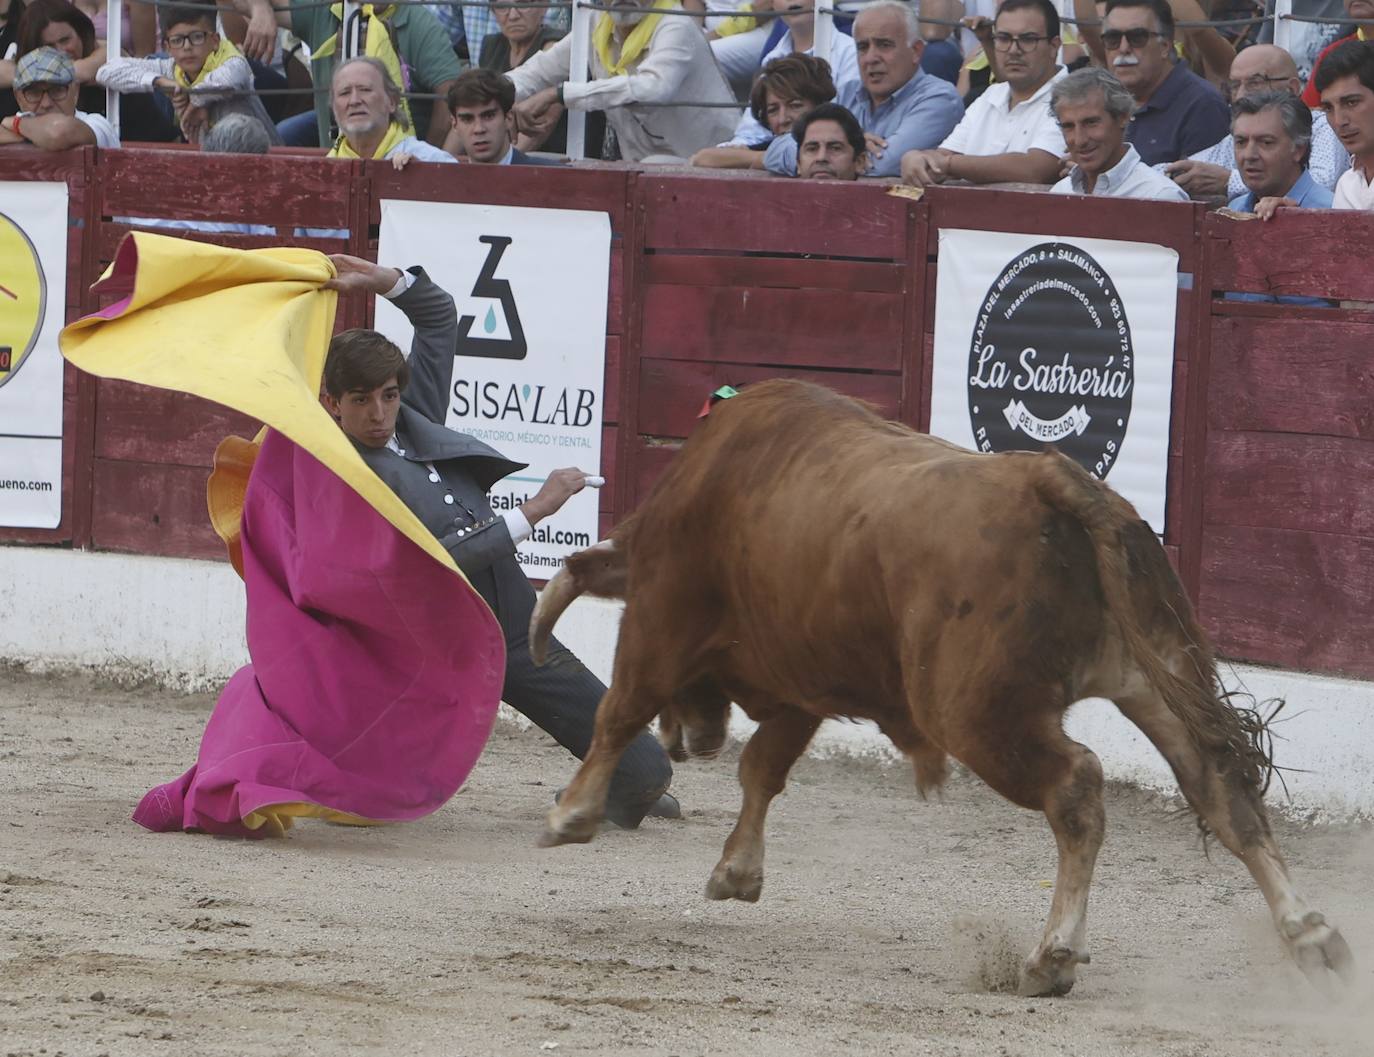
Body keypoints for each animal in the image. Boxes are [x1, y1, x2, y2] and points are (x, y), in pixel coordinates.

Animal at [527, 379, 1352, 1000]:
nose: (689, 741)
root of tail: (1048, 477)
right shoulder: (802, 684)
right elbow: (762, 768)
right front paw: (736, 870)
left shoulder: (660, 618)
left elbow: (619, 709)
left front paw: (571, 814)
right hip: (1159, 673)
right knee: (1220, 786)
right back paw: (1309, 933)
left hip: (975, 713)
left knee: (1078, 785)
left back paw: (1052, 956)